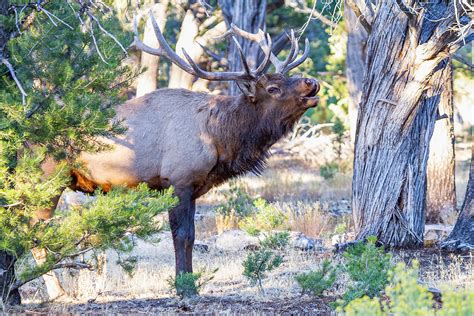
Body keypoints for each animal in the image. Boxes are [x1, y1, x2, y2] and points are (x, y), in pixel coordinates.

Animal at [39, 11, 320, 284]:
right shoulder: (178, 179)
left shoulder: (194, 187)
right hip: (50, 178)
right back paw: (59, 292)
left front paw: (189, 279)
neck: (218, 137)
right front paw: (184, 286)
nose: (311, 81)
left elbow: (192, 237)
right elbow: (181, 235)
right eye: (273, 88)